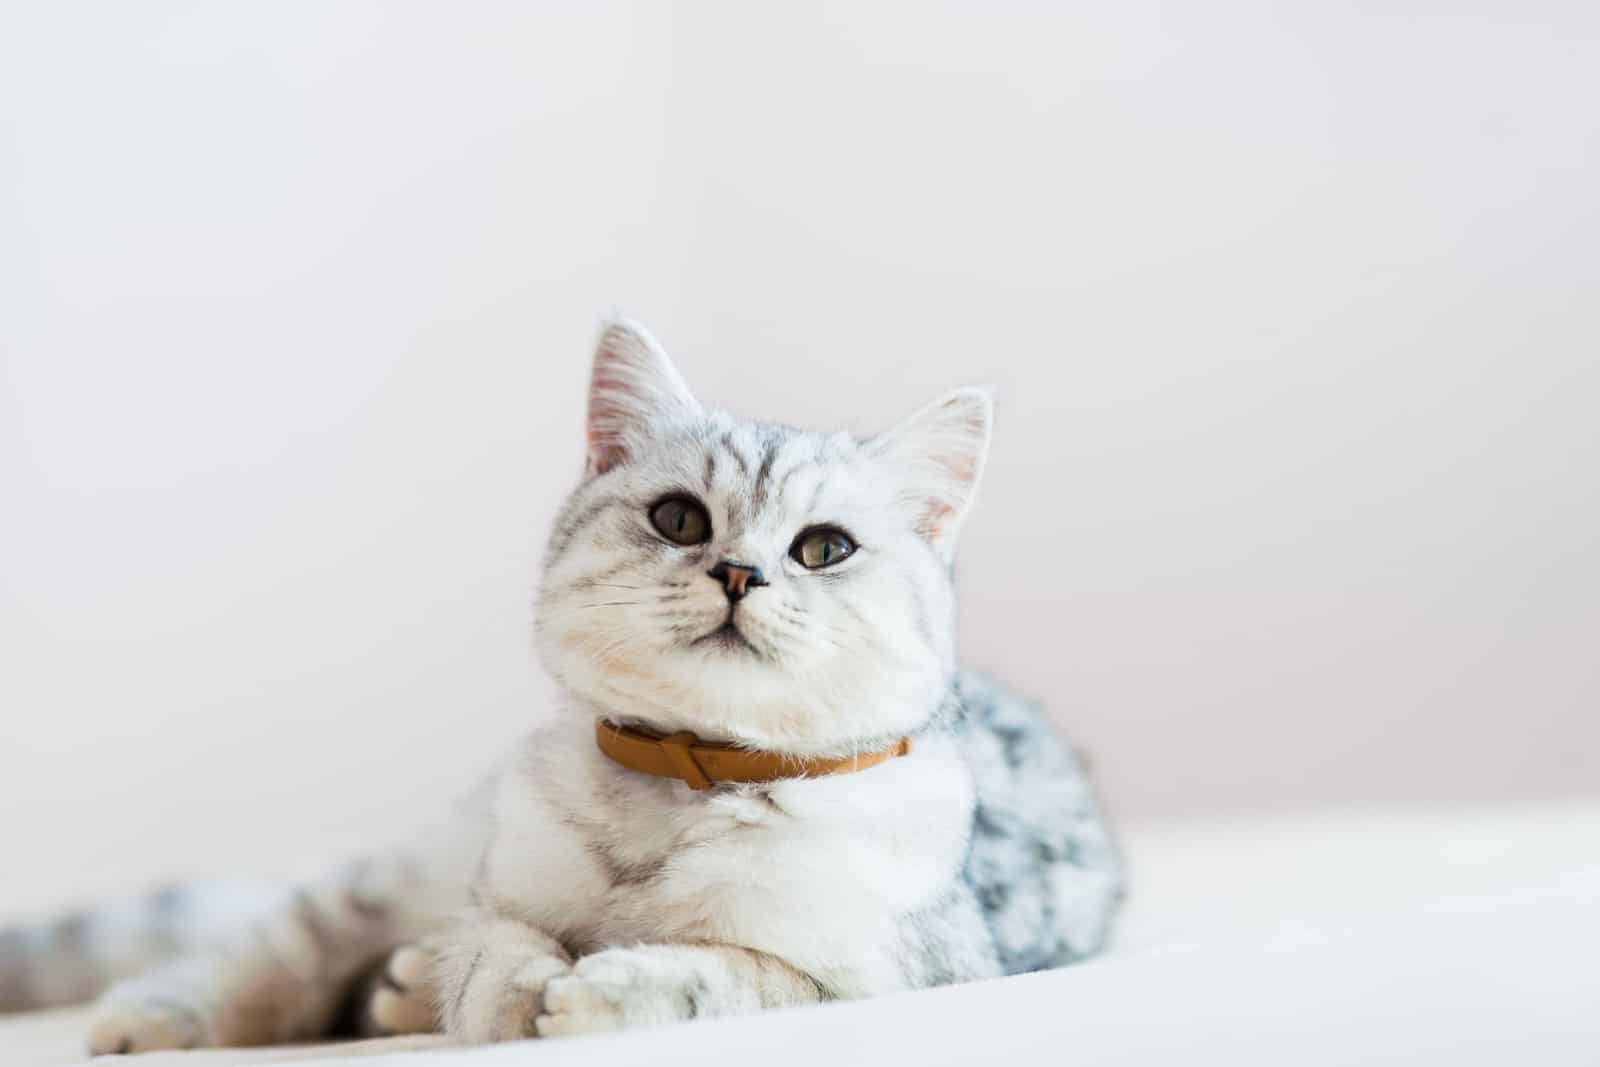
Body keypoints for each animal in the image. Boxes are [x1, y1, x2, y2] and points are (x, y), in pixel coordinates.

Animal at [0, 316, 1126, 1049]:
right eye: (678, 519)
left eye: (823, 547)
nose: (738, 572)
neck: (686, 780)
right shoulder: (498, 882)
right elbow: (493, 943)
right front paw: (512, 989)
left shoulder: (893, 971)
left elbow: (738, 976)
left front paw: (601, 991)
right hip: (398, 873)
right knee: (280, 948)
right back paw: (166, 1016)